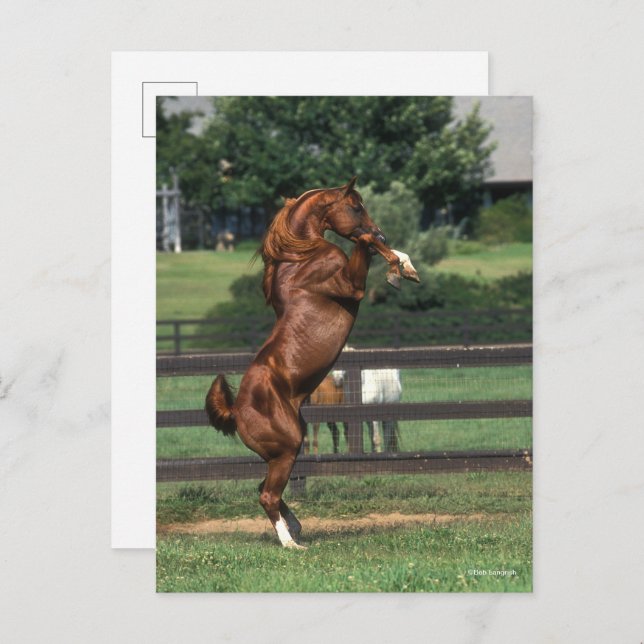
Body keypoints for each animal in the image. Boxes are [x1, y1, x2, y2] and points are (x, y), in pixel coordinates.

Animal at [205, 177, 408, 549]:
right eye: (355, 206)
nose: (383, 233)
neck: (302, 259)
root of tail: (236, 410)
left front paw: (401, 264)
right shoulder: (350, 285)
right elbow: (363, 244)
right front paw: (397, 269)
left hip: (284, 451)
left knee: (265, 489)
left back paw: (297, 528)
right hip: (286, 451)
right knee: (267, 495)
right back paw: (291, 544)